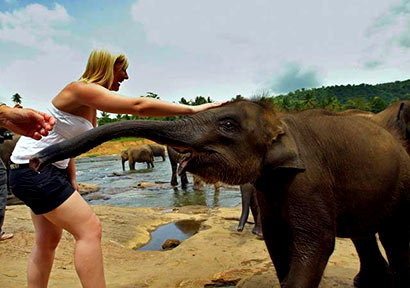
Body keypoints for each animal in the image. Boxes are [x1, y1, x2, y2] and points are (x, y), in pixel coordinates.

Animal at [29, 99, 410, 288]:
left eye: (227, 125)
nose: (36, 160)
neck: (282, 122)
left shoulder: (309, 178)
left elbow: (315, 244)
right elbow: (278, 242)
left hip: (403, 181)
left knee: (393, 235)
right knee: (366, 233)